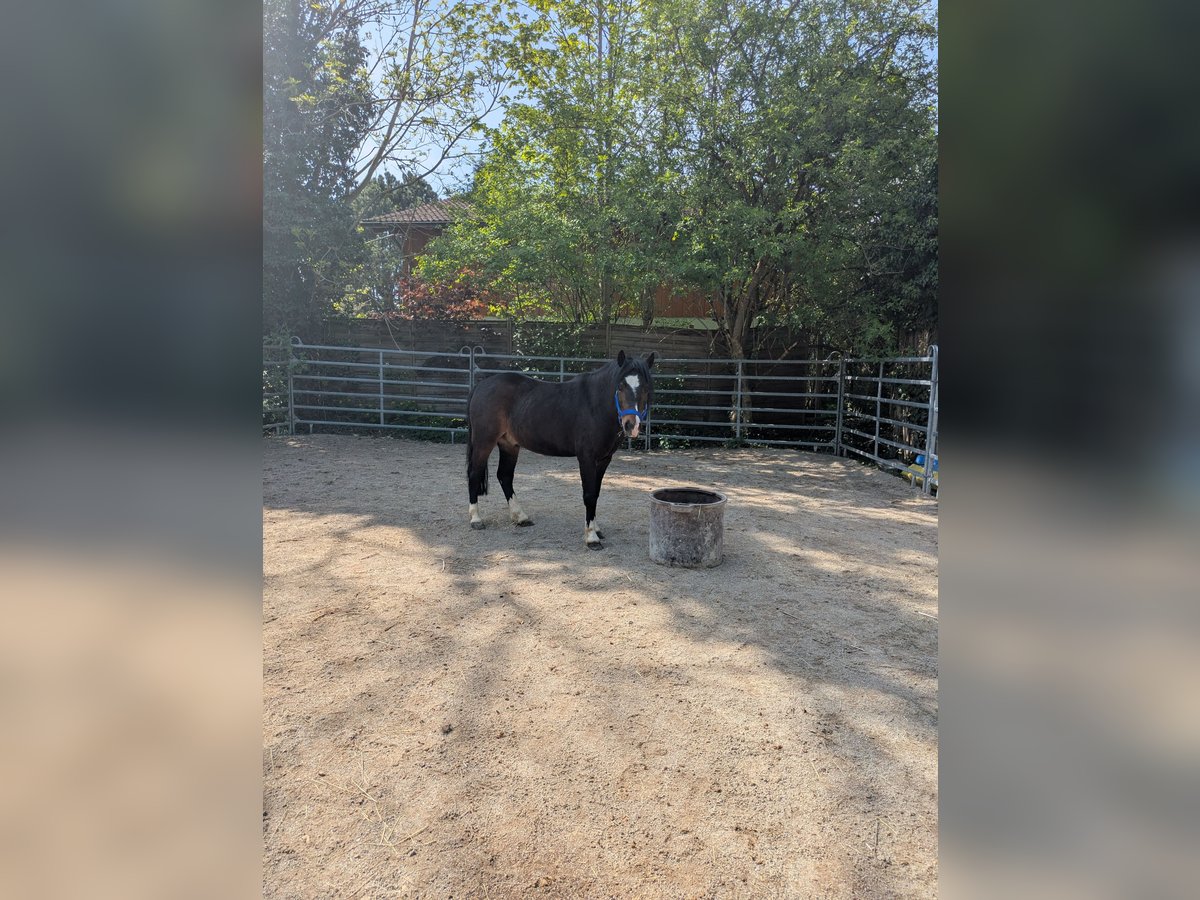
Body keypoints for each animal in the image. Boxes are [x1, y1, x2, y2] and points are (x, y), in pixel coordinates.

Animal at [465, 350, 655, 549]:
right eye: (620, 386)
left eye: (646, 387)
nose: (631, 425)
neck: (595, 406)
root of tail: (481, 385)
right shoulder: (586, 458)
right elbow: (589, 495)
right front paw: (591, 537)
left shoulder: (604, 459)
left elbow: (596, 492)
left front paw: (596, 530)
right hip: (484, 442)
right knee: (474, 474)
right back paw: (476, 519)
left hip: (509, 445)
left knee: (505, 476)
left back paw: (520, 517)